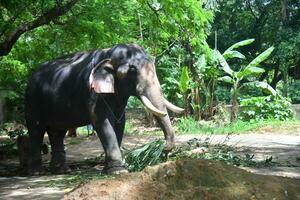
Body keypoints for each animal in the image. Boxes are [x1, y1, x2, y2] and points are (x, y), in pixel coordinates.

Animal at [24, 43, 184, 175]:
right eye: (132, 70)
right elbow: (102, 120)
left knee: (57, 132)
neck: (108, 53)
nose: (164, 151)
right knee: (36, 129)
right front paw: (118, 171)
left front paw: (109, 169)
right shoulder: (93, 92)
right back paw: (36, 172)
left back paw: (62, 171)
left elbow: (120, 123)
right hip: (32, 99)